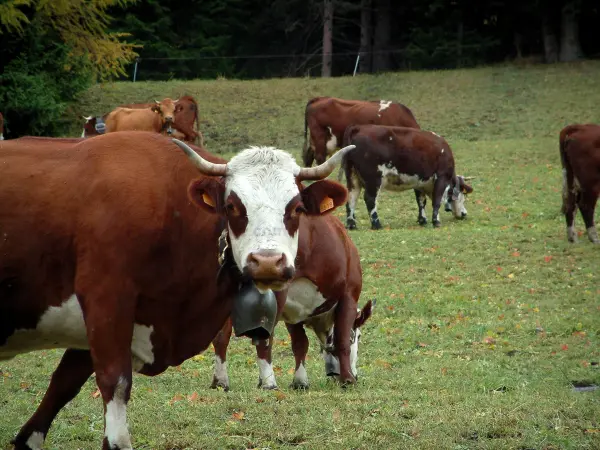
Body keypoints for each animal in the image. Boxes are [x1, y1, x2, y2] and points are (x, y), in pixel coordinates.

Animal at [0, 133, 354, 450]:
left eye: (296, 208)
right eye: (232, 206)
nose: (267, 262)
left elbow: (62, 385)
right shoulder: (105, 303)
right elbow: (114, 384)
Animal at [210, 211, 370, 390]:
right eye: (358, 337)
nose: (355, 374)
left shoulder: (293, 312)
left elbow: (300, 344)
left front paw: (300, 381)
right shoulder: (349, 296)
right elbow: (342, 339)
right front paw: (348, 379)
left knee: (221, 337)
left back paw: (220, 381)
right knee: (264, 339)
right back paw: (269, 383)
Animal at [340, 125, 476, 230]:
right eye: (462, 195)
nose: (464, 214)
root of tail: (359, 127)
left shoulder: (420, 182)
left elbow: (421, 201)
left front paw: (422, 220)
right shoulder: (441, 177)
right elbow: (436, 201)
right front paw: (436, 221)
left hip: (352, 177)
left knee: (351, 198)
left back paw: (351, 225)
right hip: (374, 179)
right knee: (370, 199)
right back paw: (376, 224)